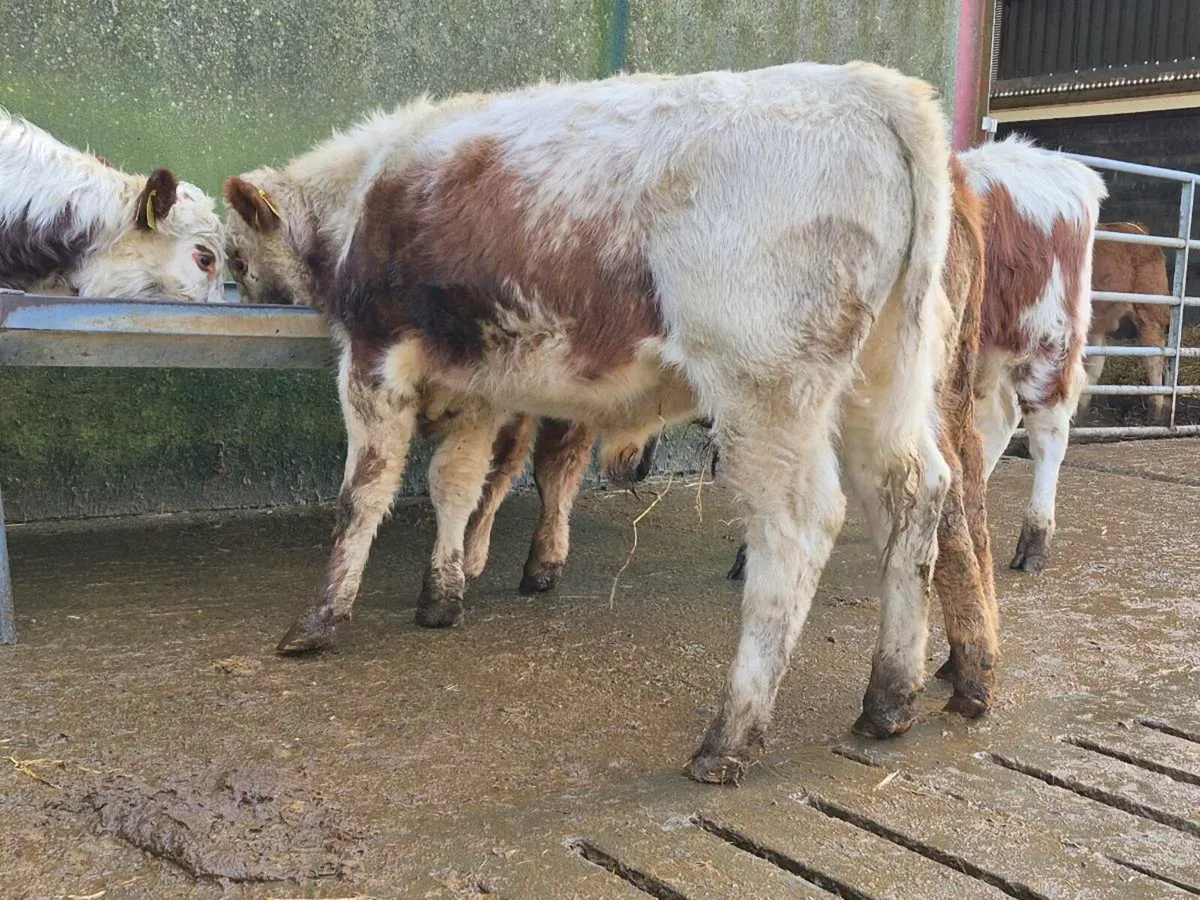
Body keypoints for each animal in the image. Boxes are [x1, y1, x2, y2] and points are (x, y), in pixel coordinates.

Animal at [223, 62, 958, 783]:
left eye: (233, 256)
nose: (247, 291)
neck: (370, 189)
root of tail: (867, 85)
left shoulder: (372, 360)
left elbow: (363, 494)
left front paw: (320, 619)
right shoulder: (480, 382)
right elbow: (455, 485)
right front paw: (442, 595)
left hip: (767, 388)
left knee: (798, 530)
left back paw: (729, 738)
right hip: (883, 376)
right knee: (914, 494)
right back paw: (890, 699)